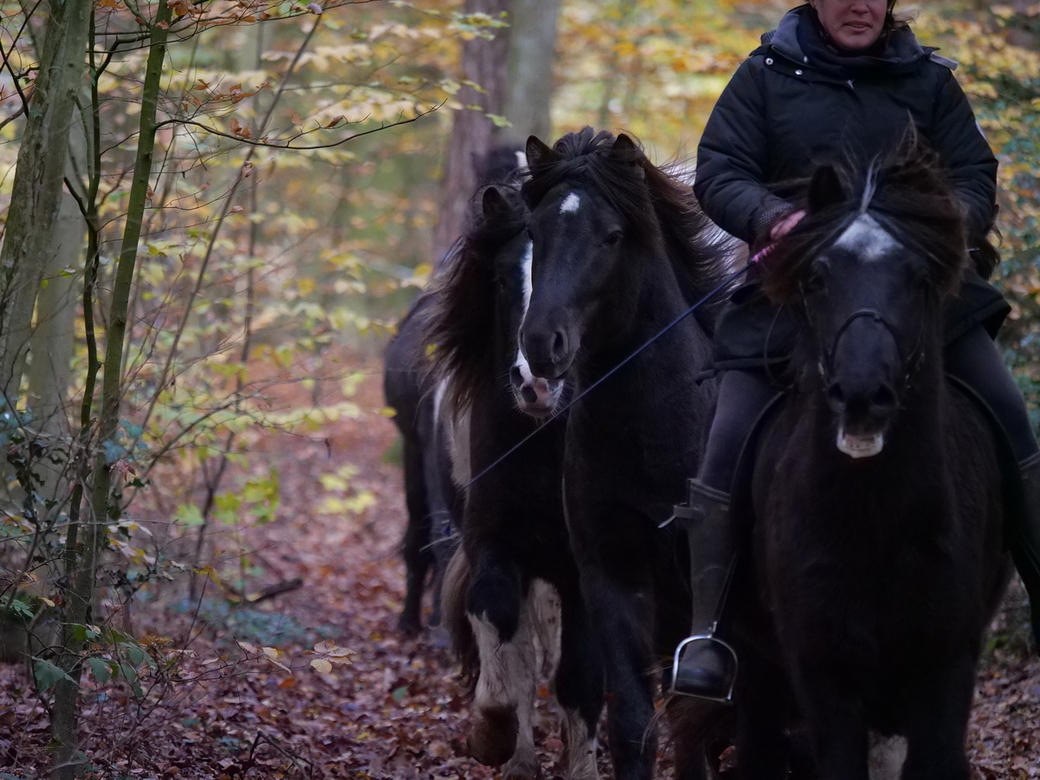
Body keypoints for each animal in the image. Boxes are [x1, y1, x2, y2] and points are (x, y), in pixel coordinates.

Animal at [426, 182, 603, 780]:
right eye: (503, 278)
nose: (536, 381)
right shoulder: (495, 546)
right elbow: (510, 653)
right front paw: (495, 739)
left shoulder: (582, 571)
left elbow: (581, 676)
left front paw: (582, 768)